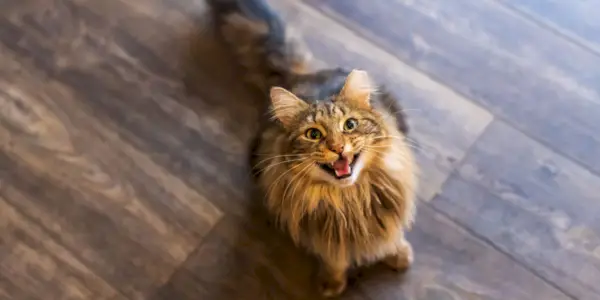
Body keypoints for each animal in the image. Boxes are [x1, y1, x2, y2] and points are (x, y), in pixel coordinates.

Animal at [206, 0, 418, 296]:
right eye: (313, 134)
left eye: (350, 125)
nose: (338, 147)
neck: (351, 201)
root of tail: (303, 75)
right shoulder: (322, 237)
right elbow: (334, 258)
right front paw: (332, 283)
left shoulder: (393, 211)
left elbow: (393, 236)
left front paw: (399, 255)